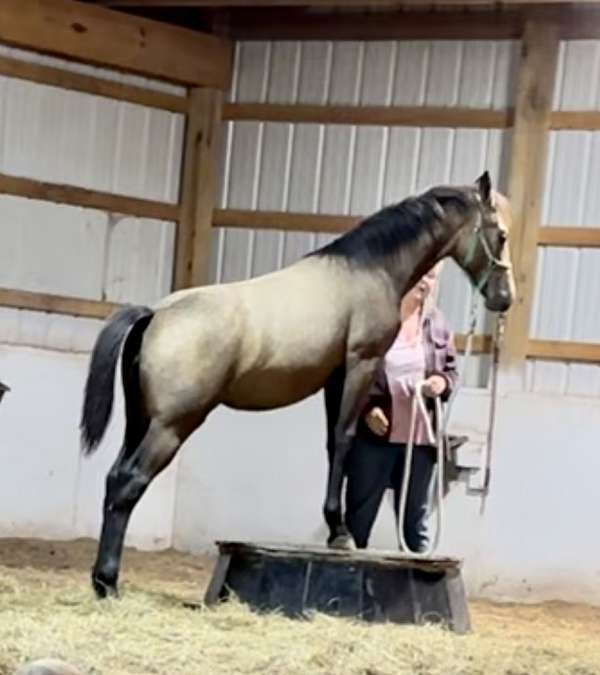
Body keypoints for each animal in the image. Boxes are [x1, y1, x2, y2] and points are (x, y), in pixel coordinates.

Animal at [79, 172, 516, 600]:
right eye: (501, 235)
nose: (505, 299)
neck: (369, 269)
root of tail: (154, 314)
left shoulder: (334, 378)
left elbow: (332, 443)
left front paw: (335, 529)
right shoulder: (361, 364)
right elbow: (345, 438)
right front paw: (340, 533)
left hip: (140, 422)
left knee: (113, 479)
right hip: (171, 426)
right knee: (127, 483)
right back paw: (108, 582)